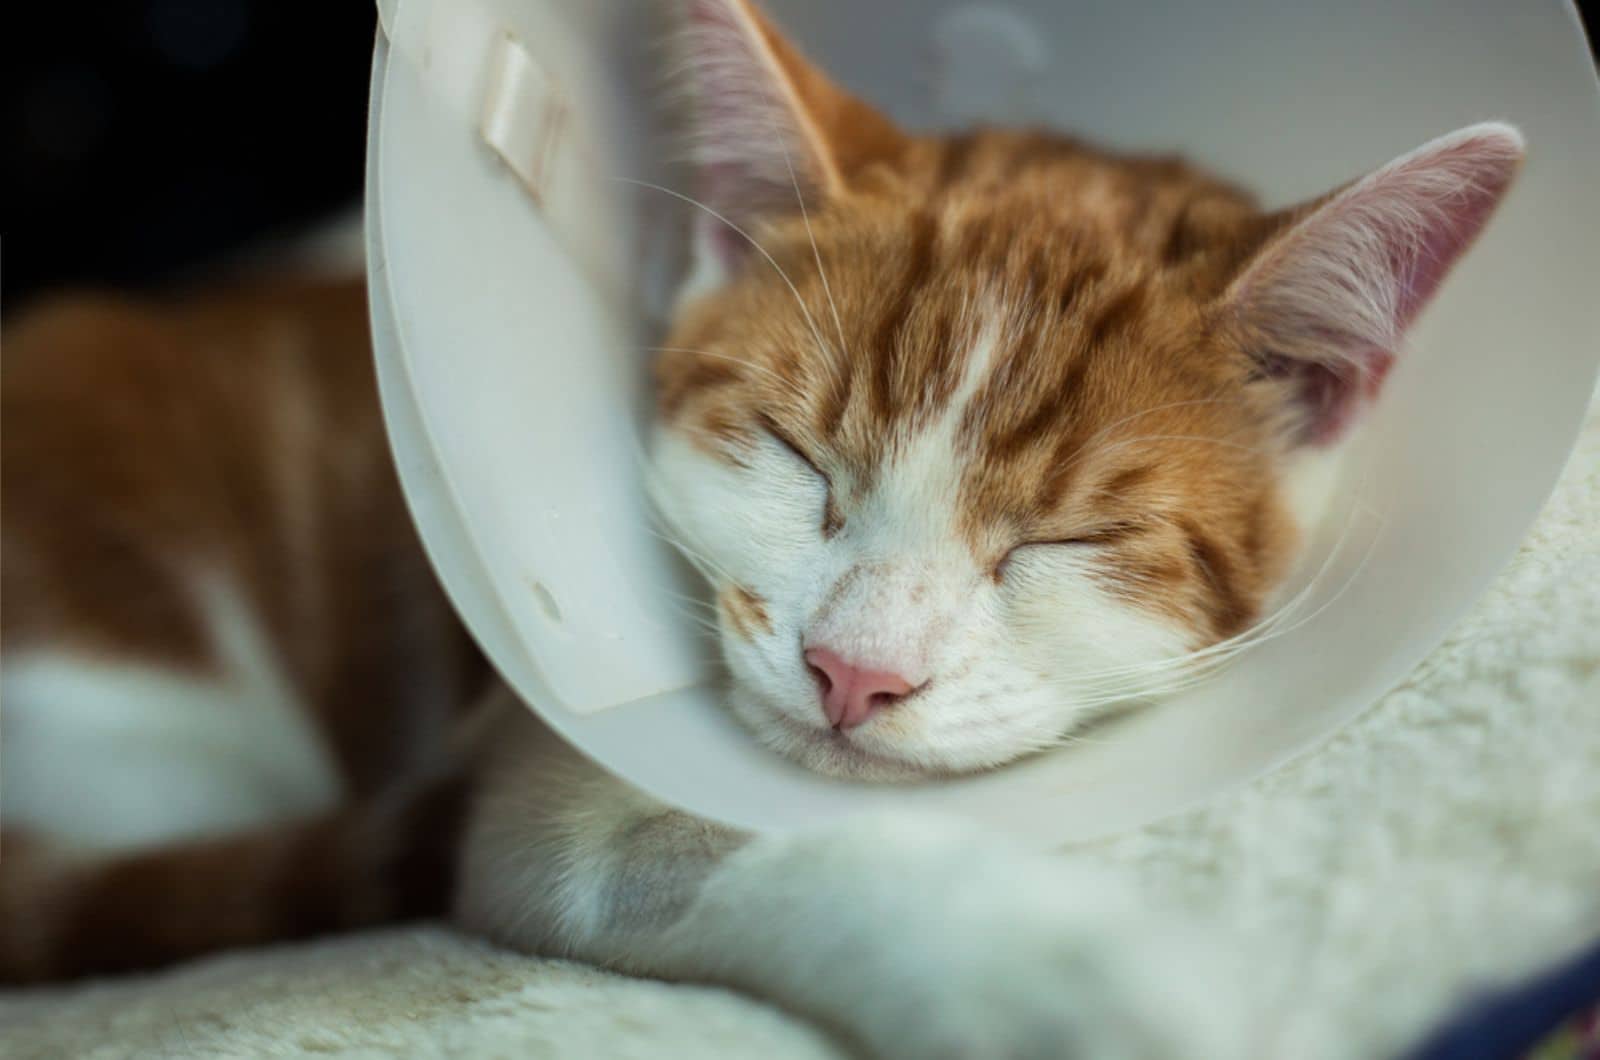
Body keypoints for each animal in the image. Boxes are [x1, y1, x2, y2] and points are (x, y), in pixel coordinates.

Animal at [3, 0, 1523, 1056]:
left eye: (1066, 540)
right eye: (798, 459)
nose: (855, 672)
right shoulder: (525, 788)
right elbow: (726, 846)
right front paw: (1059, 969)